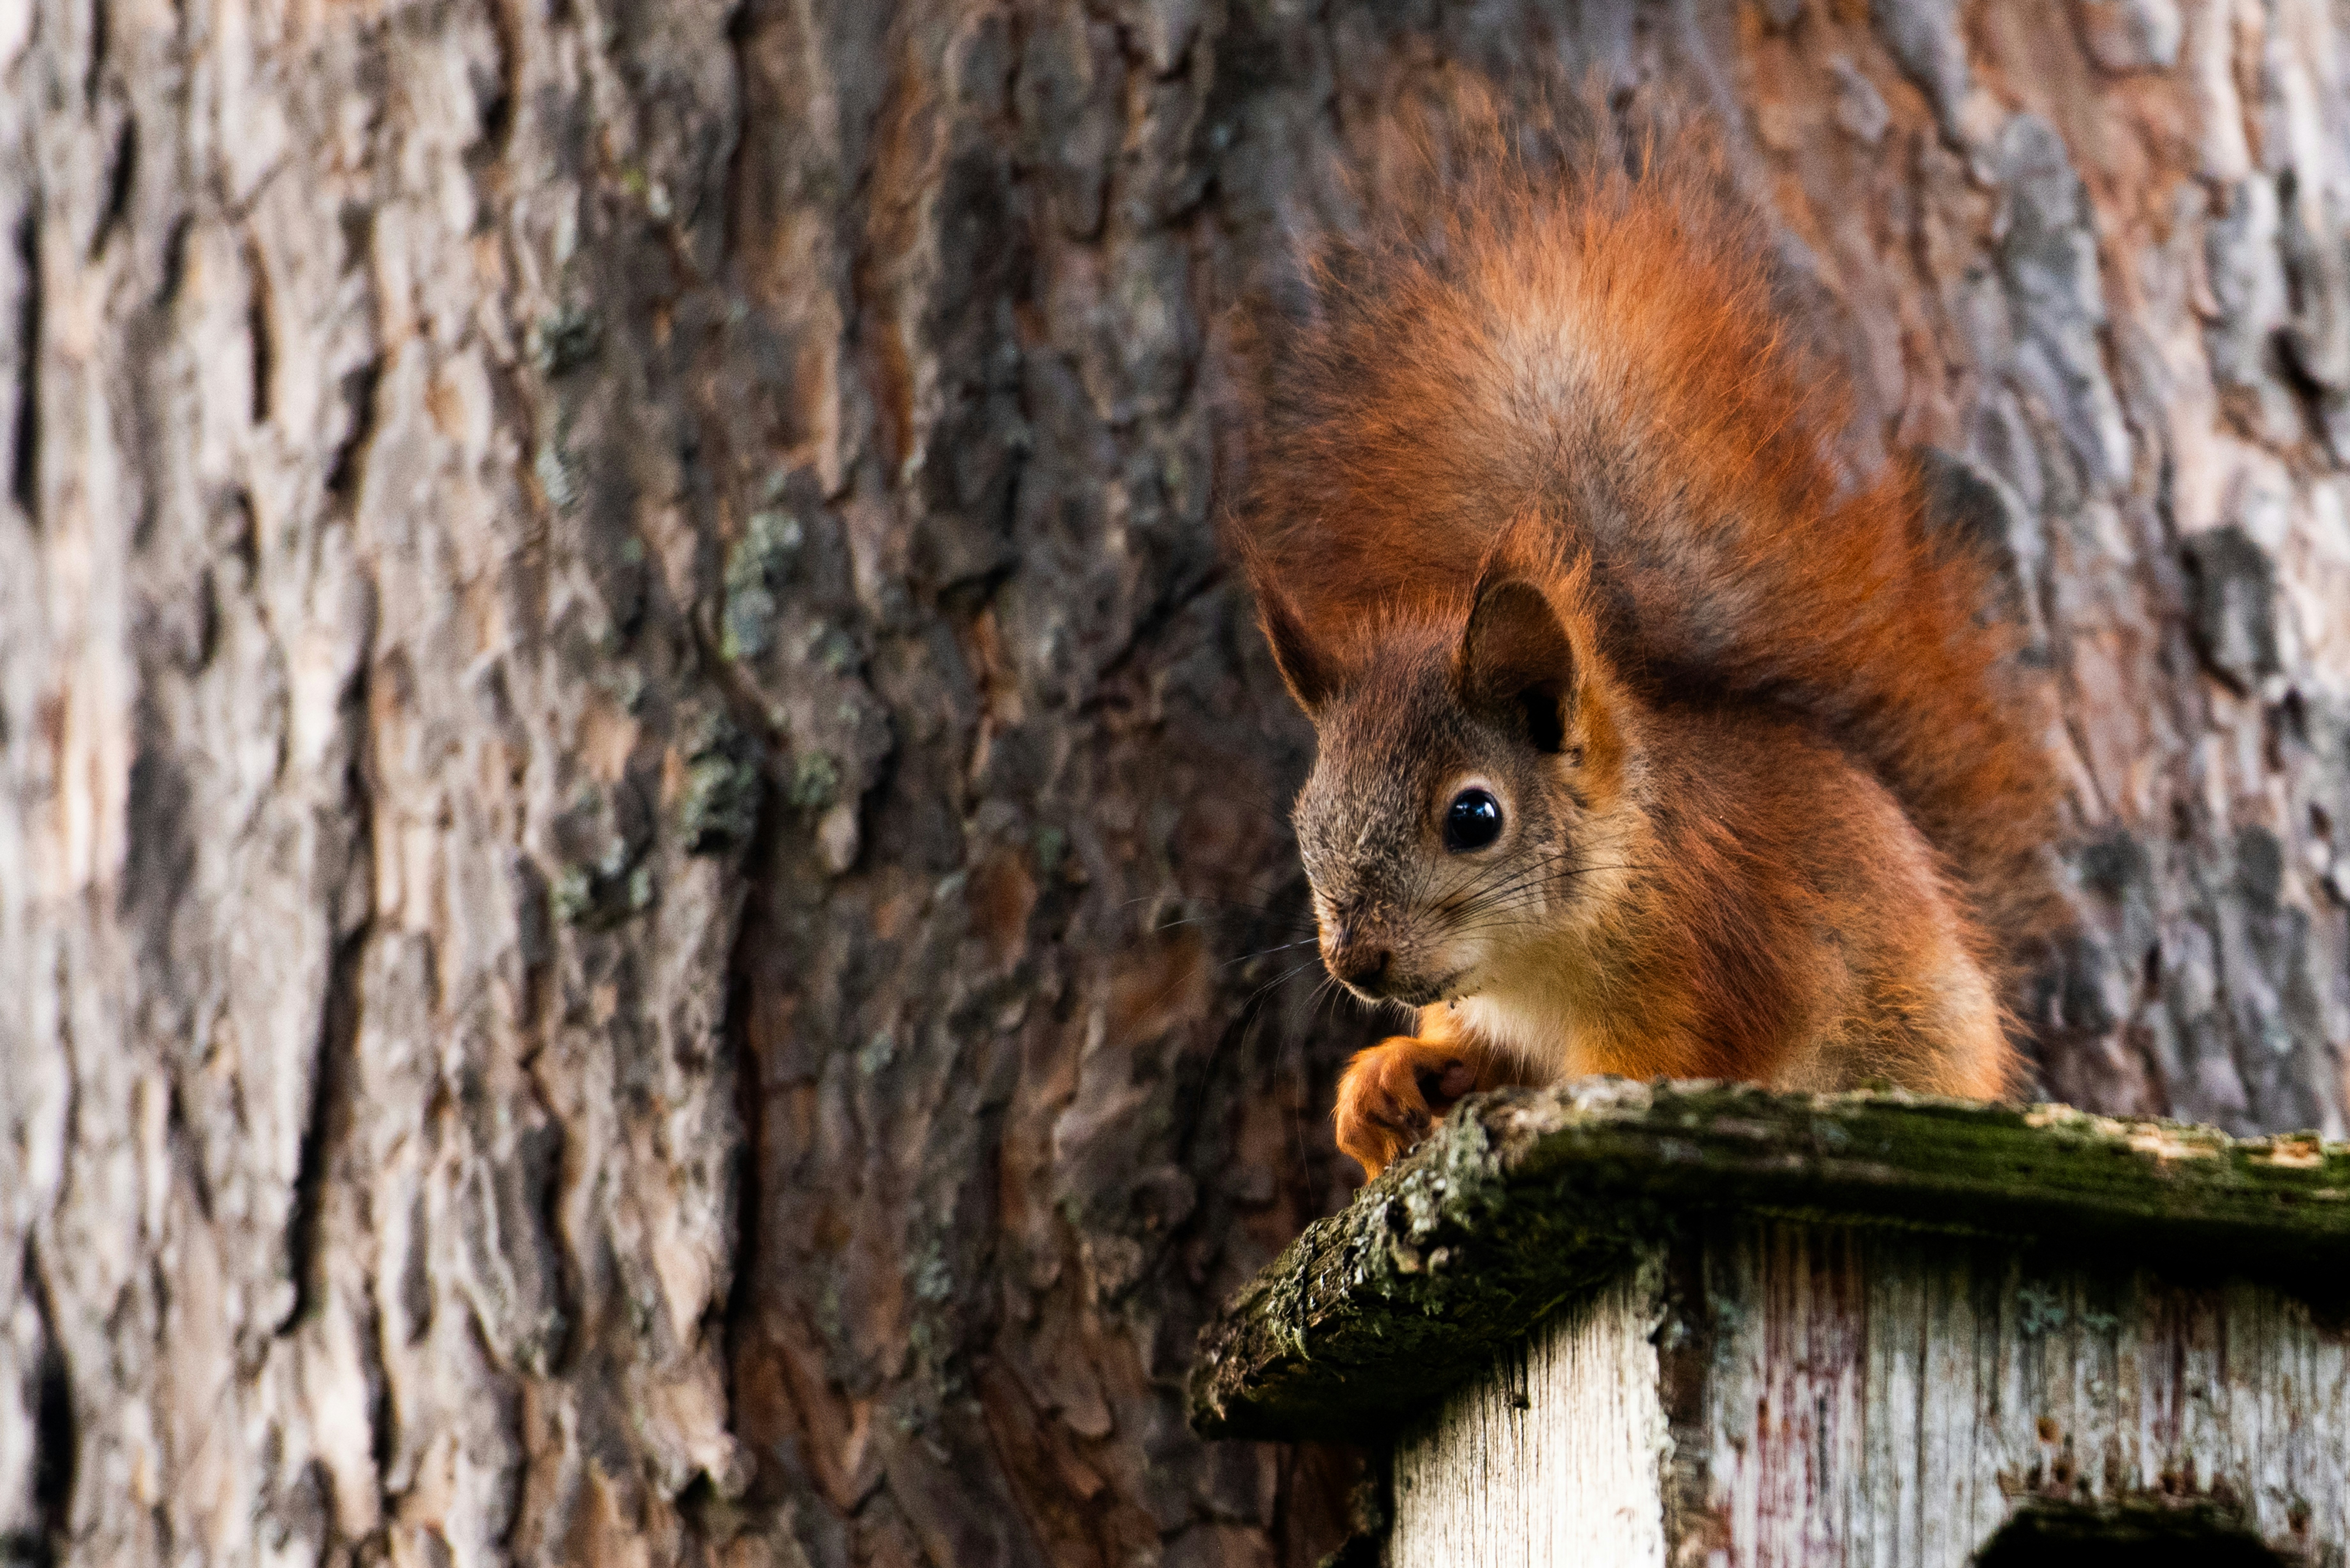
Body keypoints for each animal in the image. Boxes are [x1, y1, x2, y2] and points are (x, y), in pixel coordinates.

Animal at [1234, 89, 2062, 1179]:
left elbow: (1662, 1065)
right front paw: (1381, 1085)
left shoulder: (1719, 952)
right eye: (1307, 815)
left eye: (1474, 817)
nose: (1356, 962)